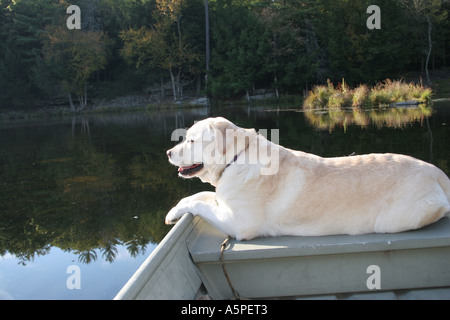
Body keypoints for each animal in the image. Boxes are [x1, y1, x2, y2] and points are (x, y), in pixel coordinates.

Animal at [166, 116, 450, 239]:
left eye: (191, 140)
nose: (168, 152)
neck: (236, 158)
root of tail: (438, 172)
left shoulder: (238, 224)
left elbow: (201, 202)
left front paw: (175, 212)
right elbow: (202, 195)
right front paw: (174, 210)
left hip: (395, 219)